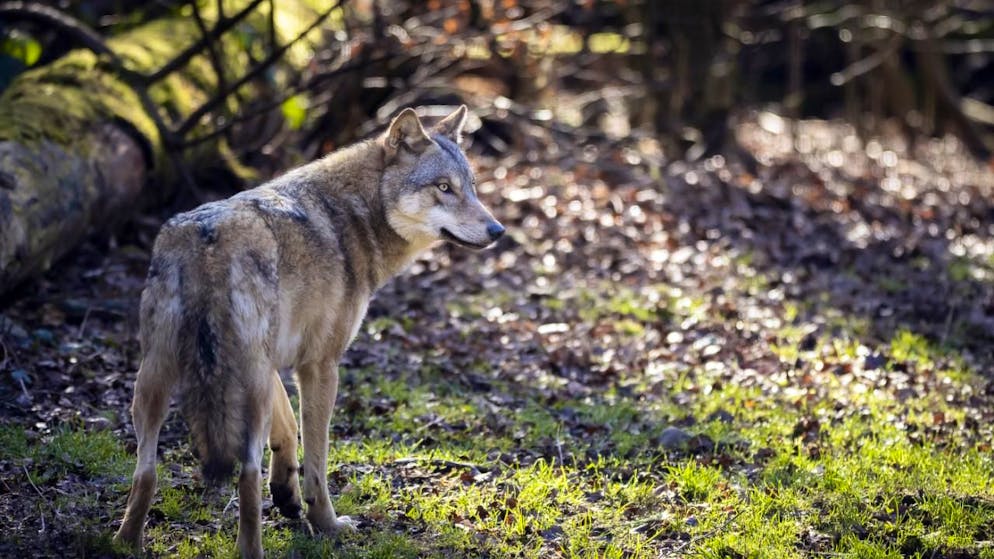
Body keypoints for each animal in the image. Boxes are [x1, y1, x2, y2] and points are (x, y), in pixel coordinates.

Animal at [112, 106, 503, 558]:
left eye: (471, 187)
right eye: (444, 187)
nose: (498, 231)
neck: (353, 215)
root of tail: (209, 239)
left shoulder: (275, 362)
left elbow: (288, 429)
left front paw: (286, 493)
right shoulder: (320, 365)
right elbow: (317, 460)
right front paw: (327, 523)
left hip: (158, 379)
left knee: (146, 471)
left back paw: (125, 542)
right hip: (237, 387)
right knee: (245, 472)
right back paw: (252, 550)